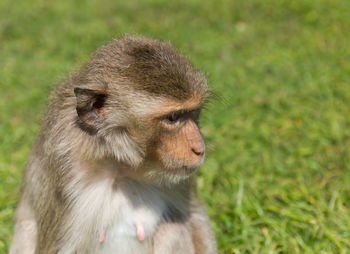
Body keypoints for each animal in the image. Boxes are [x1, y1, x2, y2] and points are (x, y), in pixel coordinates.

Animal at [9, 35, 217, 254]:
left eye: (193, 112)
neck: (118, 164)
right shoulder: (65, 168)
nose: (199, 149)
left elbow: (195, 215)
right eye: (173, 118)